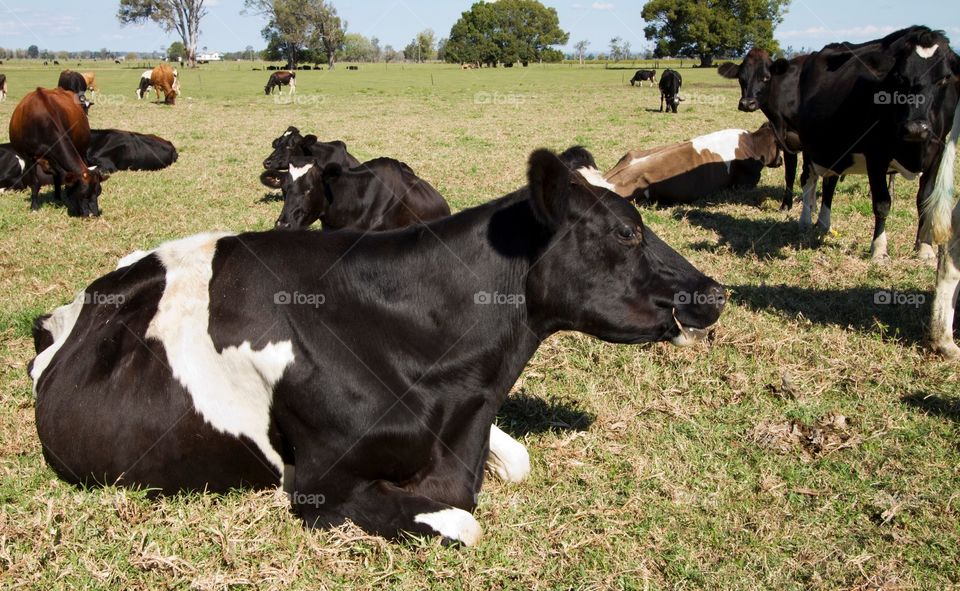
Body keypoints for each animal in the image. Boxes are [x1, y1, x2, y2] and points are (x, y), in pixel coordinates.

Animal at [8, 88, 106, 216]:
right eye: (83, 194)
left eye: (98, 192)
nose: (93, 214)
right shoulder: (29, 157)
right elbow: (35, 182)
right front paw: (34, 206)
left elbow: (59, 176)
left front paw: (59, 198)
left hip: (80, 149)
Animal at [791, 26, 960, 260]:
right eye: (899, 77)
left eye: (944, 78)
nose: (916, 128)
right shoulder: (875, 155)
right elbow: (882, 203)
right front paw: (879, 249)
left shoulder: (937, 151)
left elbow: (925, 200)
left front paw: (924, 248)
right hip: (810, 148)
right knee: (808, 180)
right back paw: (805, 221)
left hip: (835, 150)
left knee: (829, 183)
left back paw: (824, 224)